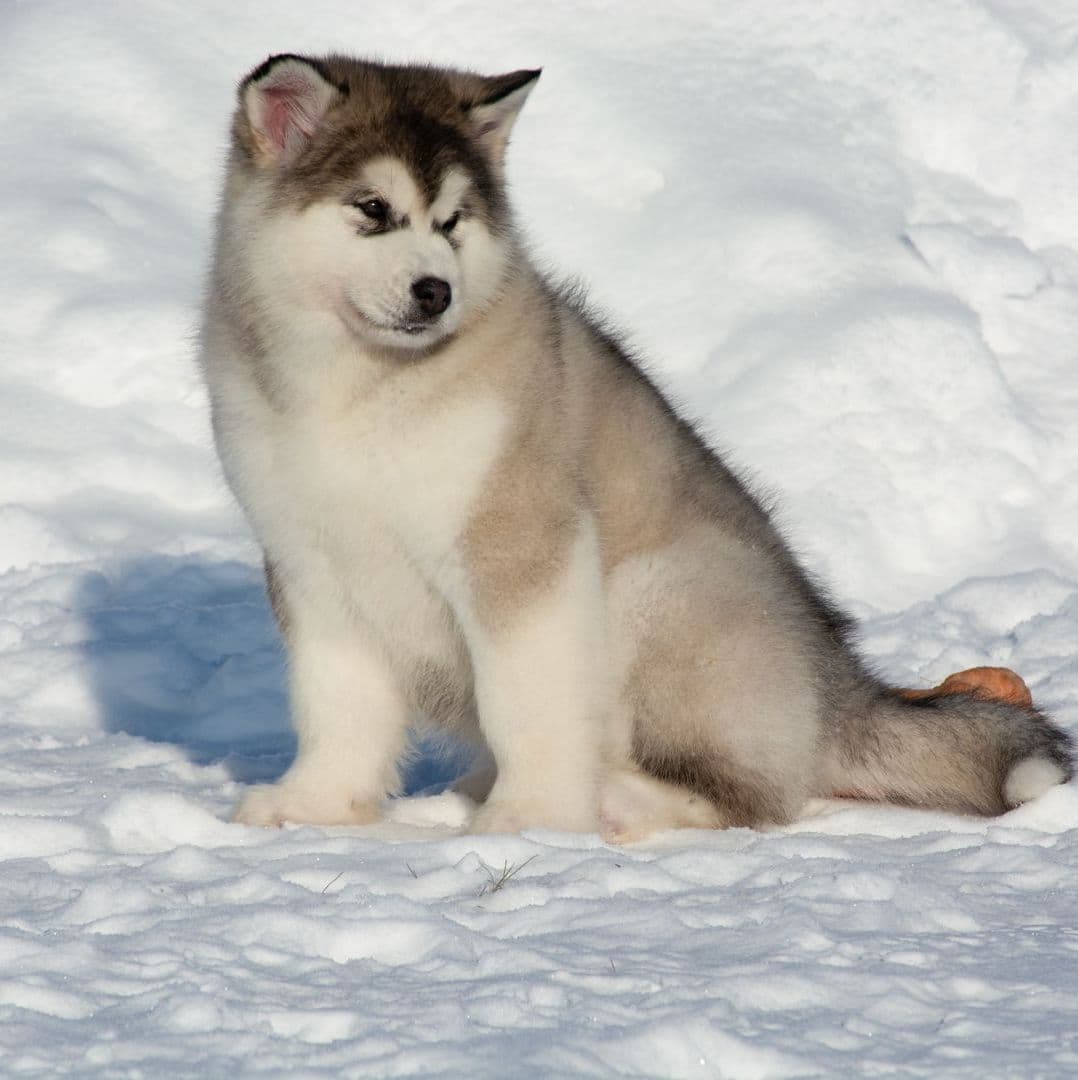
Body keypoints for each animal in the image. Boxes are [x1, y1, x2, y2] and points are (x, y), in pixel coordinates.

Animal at [200, 54, 1071, 838]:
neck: (357, 389)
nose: (435, 292)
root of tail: (840, 687)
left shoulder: (523, 548)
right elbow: (337, 705)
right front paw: (314, 805)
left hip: (662, 593)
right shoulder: (314, 563)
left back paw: (619, 800)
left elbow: (526, 701)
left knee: (751, 797)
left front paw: (532, 819)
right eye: (373, 208)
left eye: (452, 222)